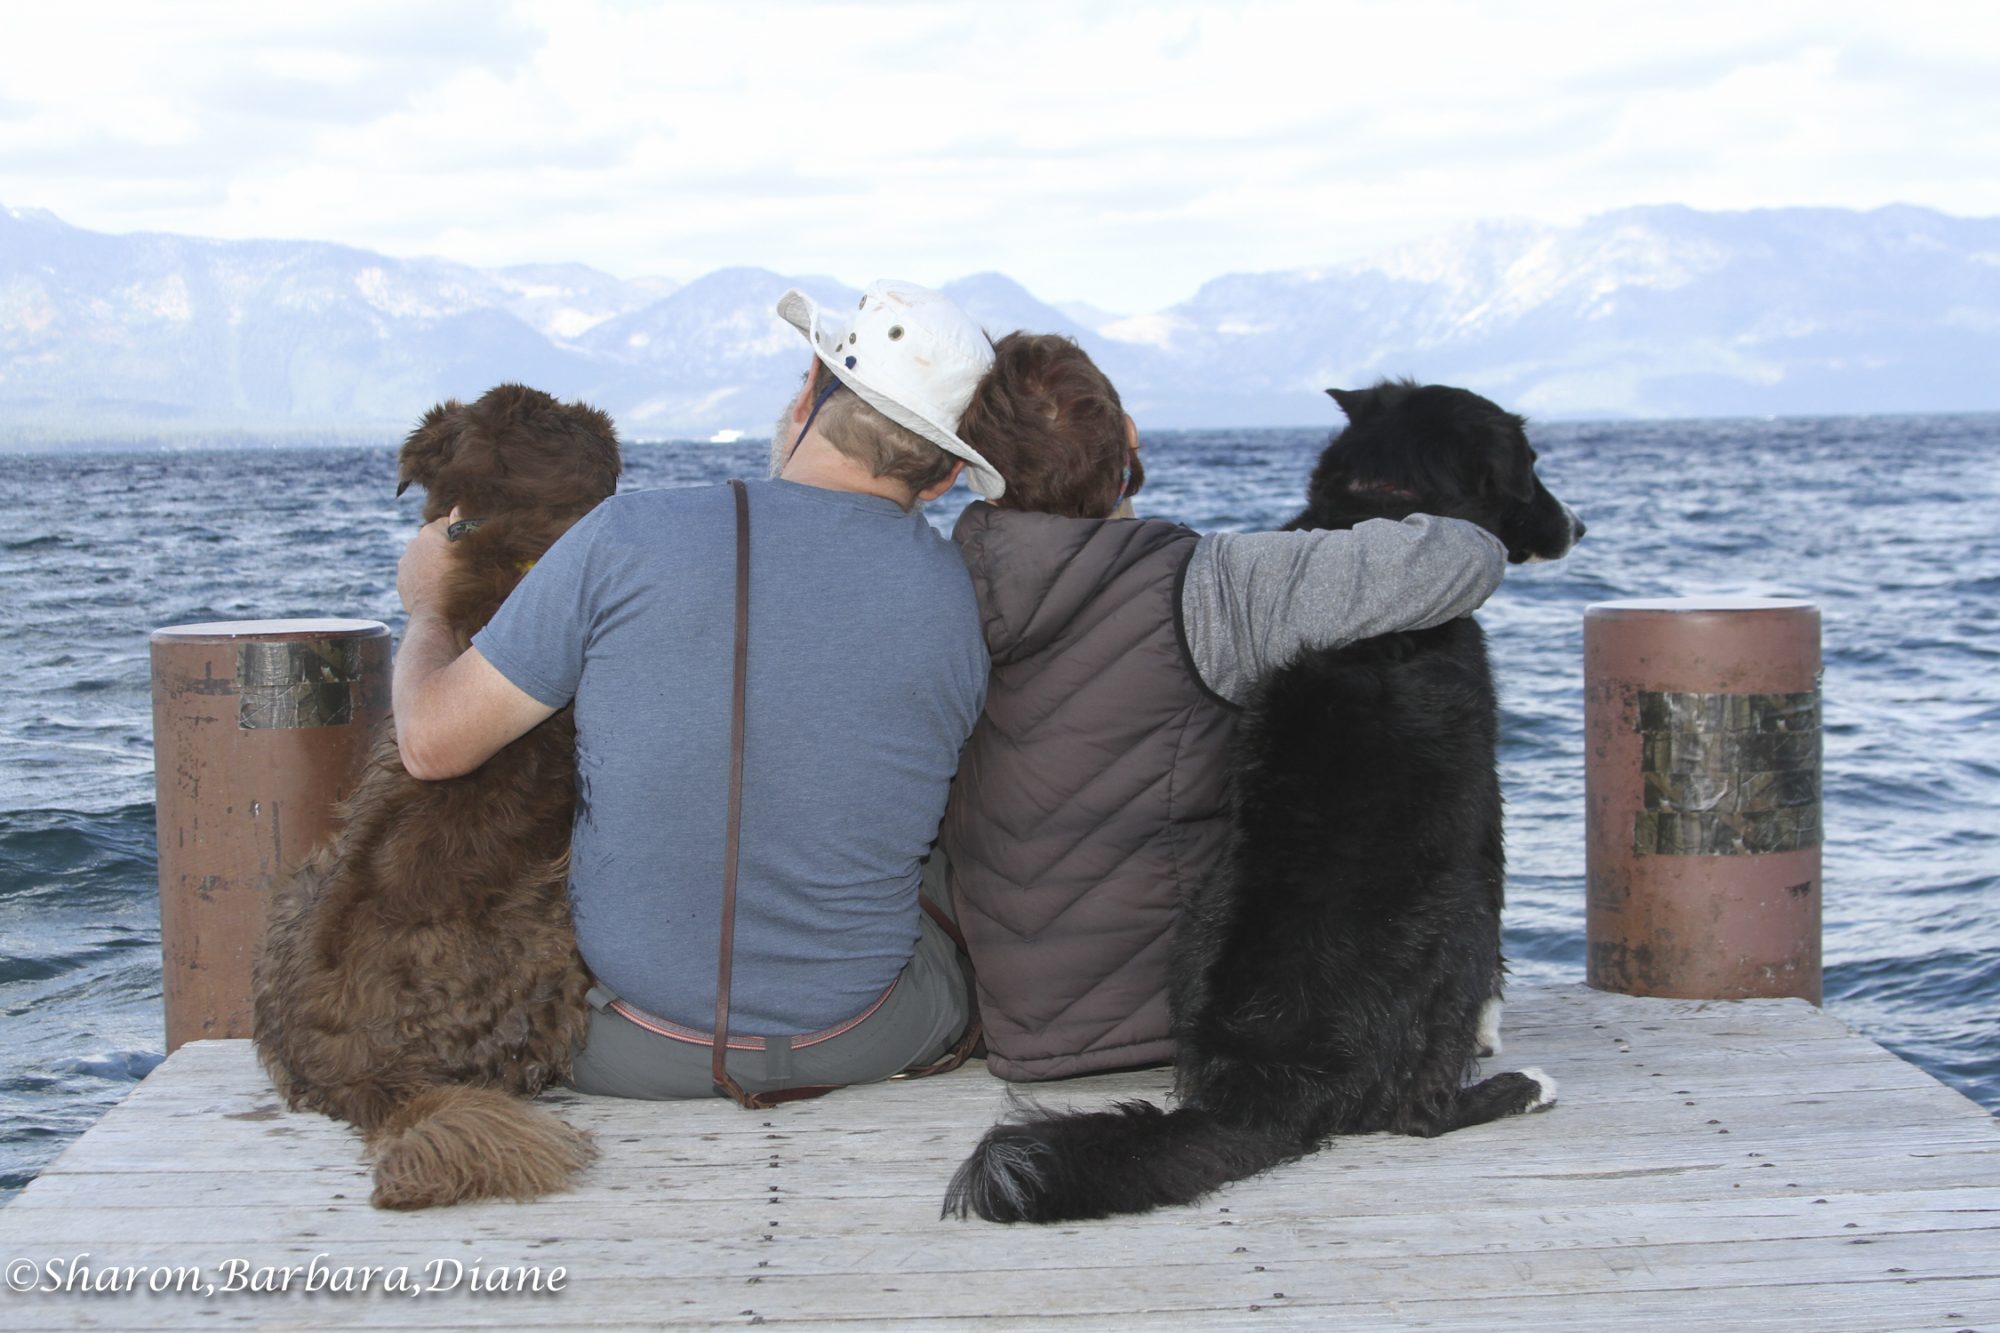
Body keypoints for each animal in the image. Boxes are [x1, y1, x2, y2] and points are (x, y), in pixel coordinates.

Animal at [944, 378, 1584, 1216]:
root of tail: (1261, 1073)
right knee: (1418, 1110)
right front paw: (1494, 1036)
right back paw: (1523, 1086)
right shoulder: (1485, 809)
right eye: (1531, 462)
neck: (1381, 501)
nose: (1579, 524)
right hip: (1456, 914)